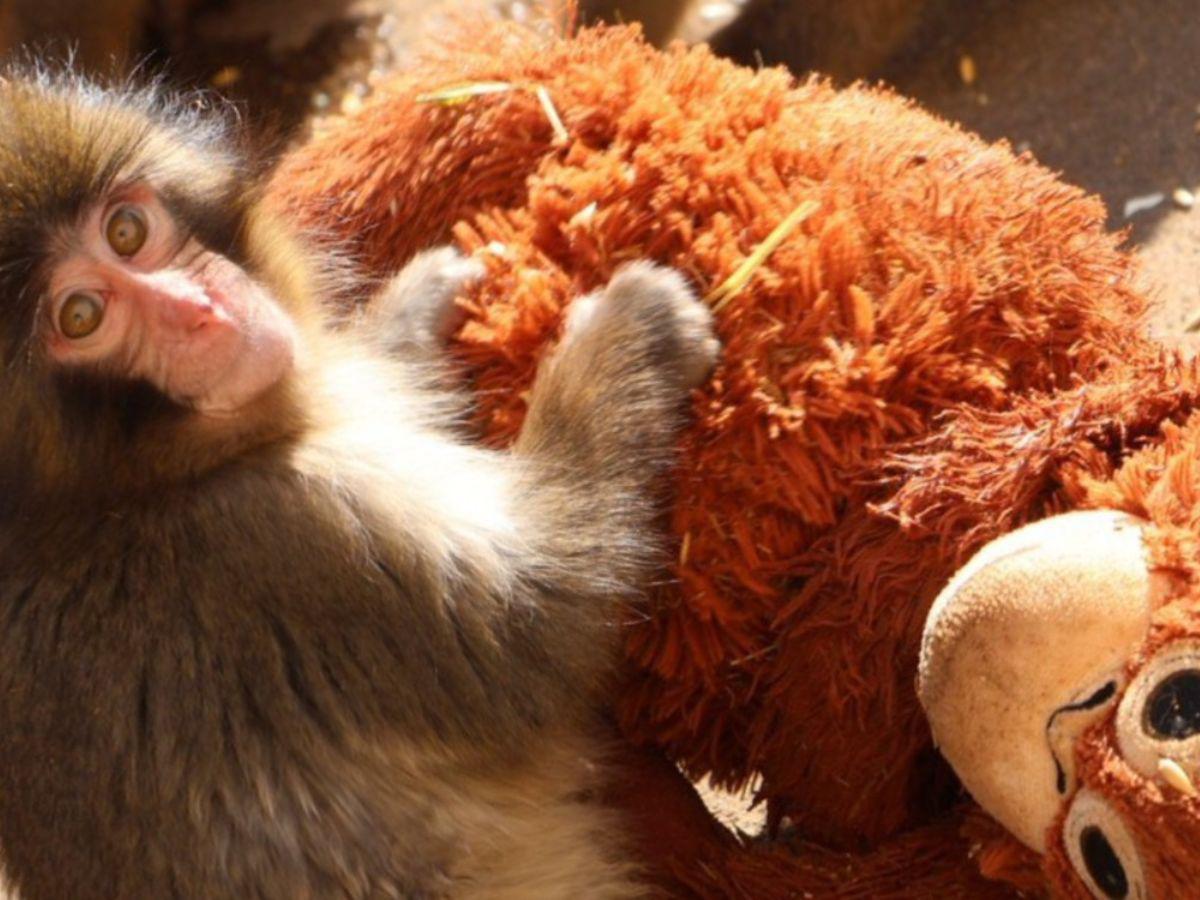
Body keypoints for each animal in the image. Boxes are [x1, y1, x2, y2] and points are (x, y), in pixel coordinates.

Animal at [0, 69, 719, 899]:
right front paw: (632, 329)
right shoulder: (282, 536)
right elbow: (540, 613)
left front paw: (411, 309)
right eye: (81, 315)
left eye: (125, 232)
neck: (116, 495)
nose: (201, 311)